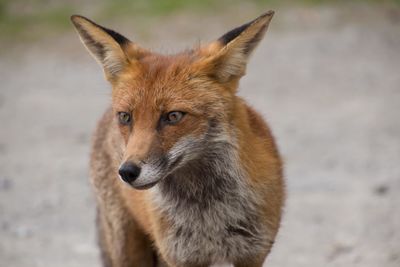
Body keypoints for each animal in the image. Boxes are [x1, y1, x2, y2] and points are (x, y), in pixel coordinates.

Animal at [72, 10, 284, 267]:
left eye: (173, 116)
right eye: (125, 117)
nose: (127, 172)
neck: (207, 210)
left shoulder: (252, 254)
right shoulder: (181, 256)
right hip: (129, 248)